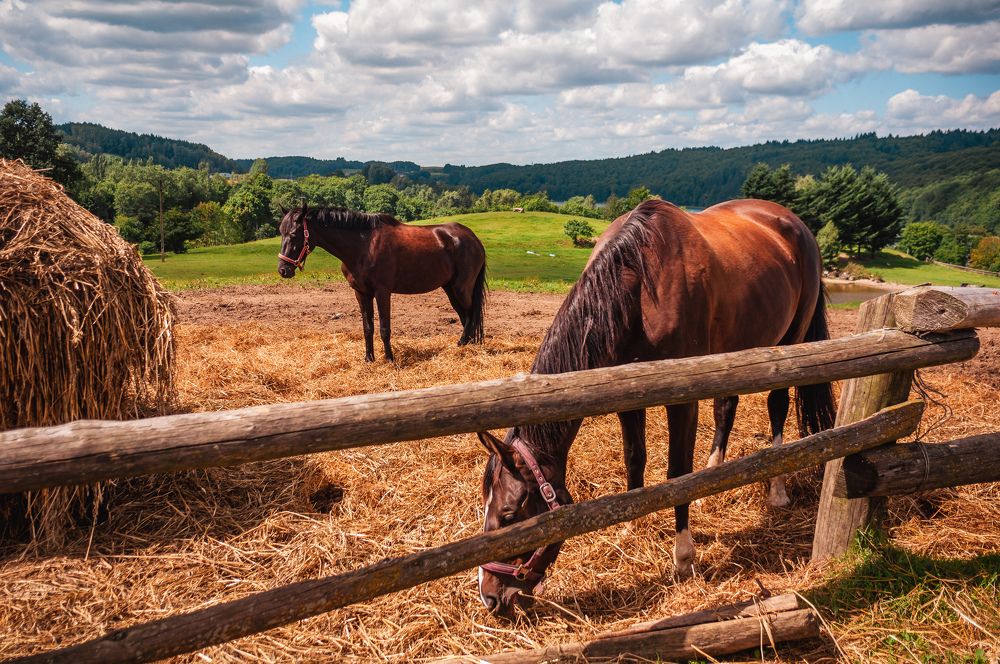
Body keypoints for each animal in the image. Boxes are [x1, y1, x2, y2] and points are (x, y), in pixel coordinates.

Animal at [277, 205, 487, 362]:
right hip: (450, 289)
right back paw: (467, 346)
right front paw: (369, 359)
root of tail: (473, 238)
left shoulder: (382, 292)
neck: (363, 246)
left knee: (471, 315)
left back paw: (462, 344)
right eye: (281, 232)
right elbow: (367, 327)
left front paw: (389, 358)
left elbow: (384, 328)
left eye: (294, 233)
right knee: (465, 316)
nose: (283, 270)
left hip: (461, 289)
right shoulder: (361, 293)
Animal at [476, 198, 836, 615]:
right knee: (725, 408)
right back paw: (712, 479)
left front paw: (683, 557)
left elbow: (677, 471)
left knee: (777, 406)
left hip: (787, 344)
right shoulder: (625, 394)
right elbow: (635, 458)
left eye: (509, 515)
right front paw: (630, 526)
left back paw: (776, 490)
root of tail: (791, 223)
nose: (489, 597)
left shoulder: (682, 400)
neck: (640, 288)